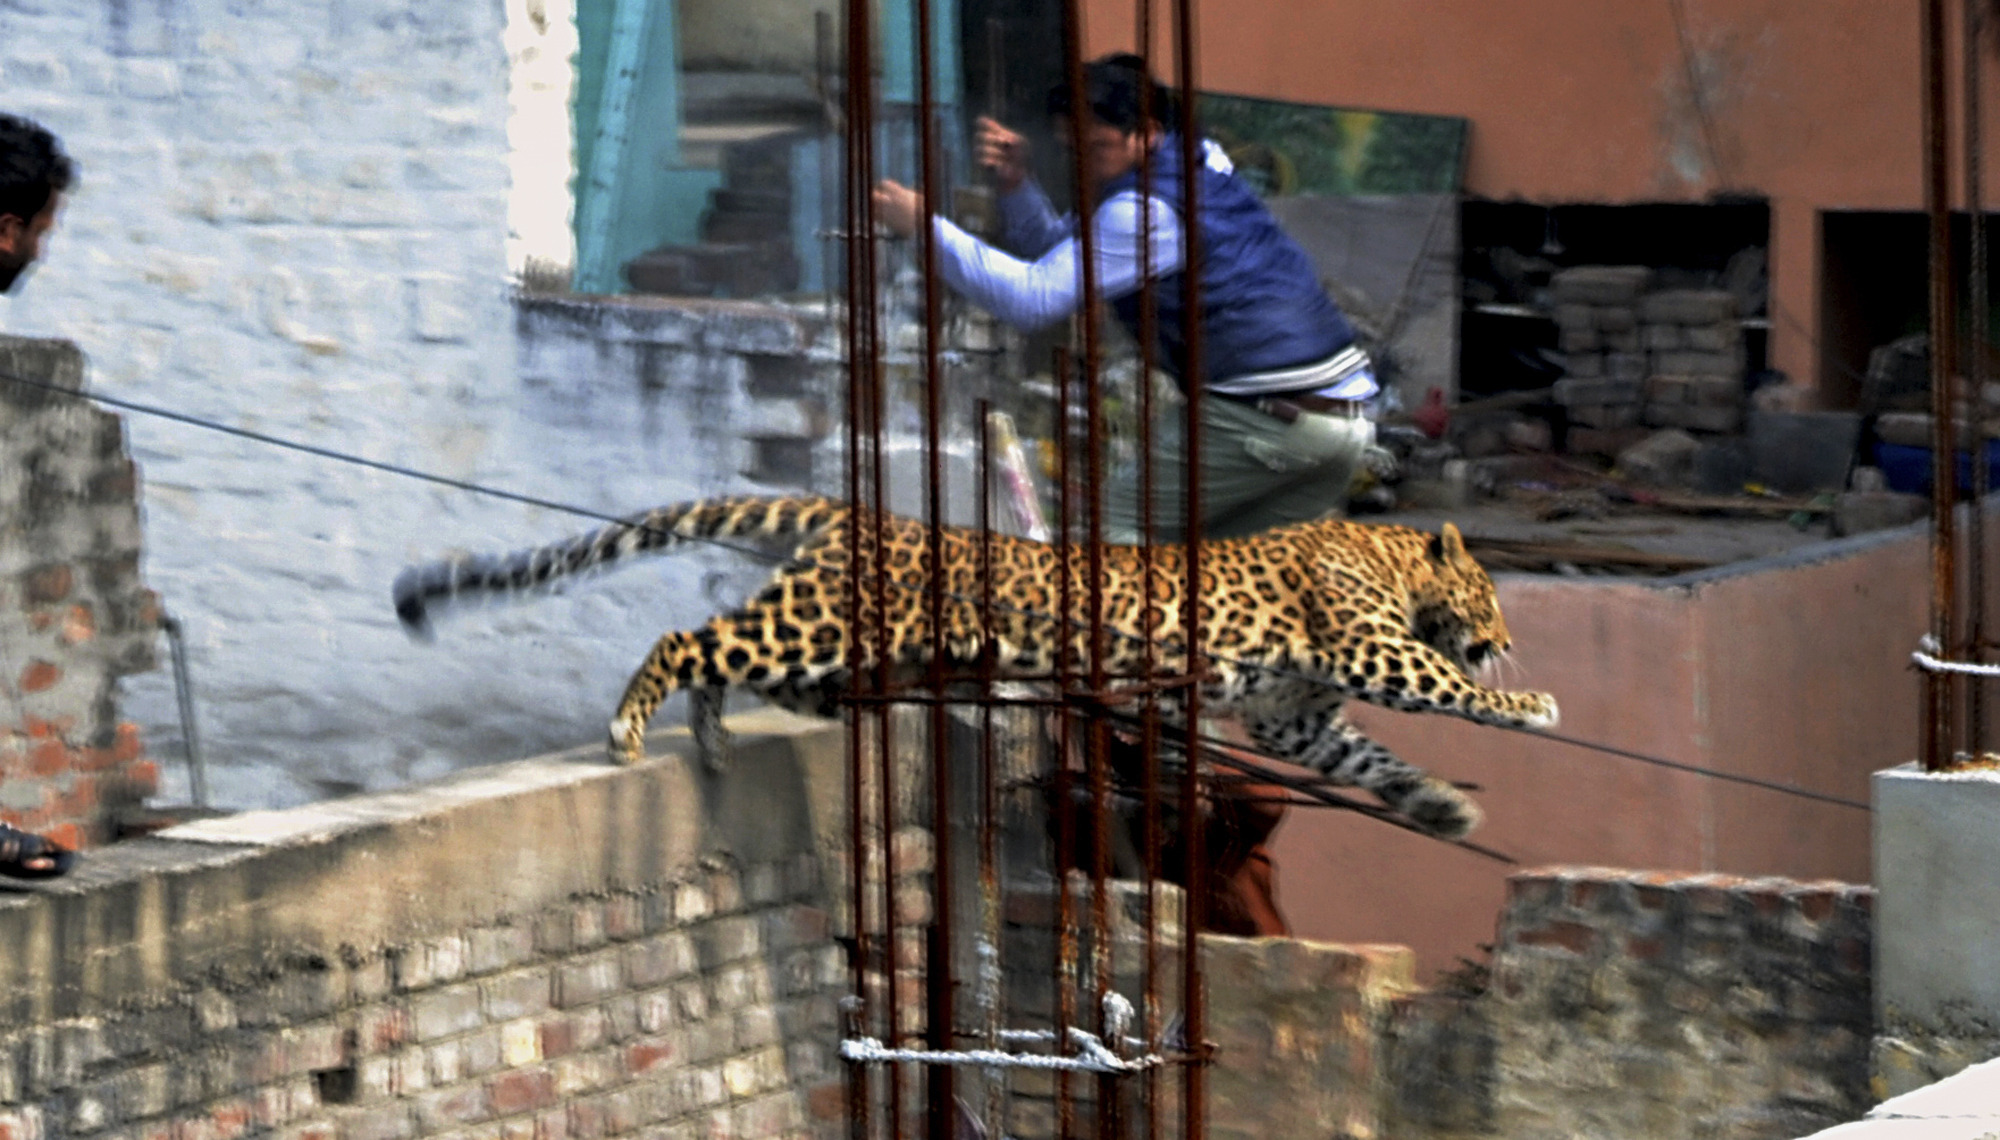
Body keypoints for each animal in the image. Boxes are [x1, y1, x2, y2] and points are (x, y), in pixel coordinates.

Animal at [393, 494, 1558, 840]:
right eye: (1495, 601)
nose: (1509, 634)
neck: (1389, 555)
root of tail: (850, 511)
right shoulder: (1370, 646)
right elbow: (1452, 690)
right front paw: (1532, 700)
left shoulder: (1291, 717)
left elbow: (1368, 759)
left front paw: (1440, 807)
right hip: (825, 628)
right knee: (690, 639)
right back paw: (632, 728)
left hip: (825, 650)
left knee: (725, 645)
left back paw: (713, 738)